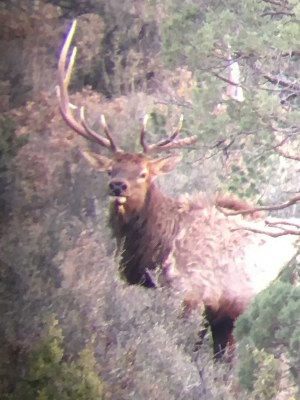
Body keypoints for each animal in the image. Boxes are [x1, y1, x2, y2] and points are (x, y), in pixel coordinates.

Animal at [56, 21, 298, 360]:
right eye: (110, 169)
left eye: (144, 173)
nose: (117, 185)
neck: (156, 250)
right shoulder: (221, 316)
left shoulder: (195, 297)